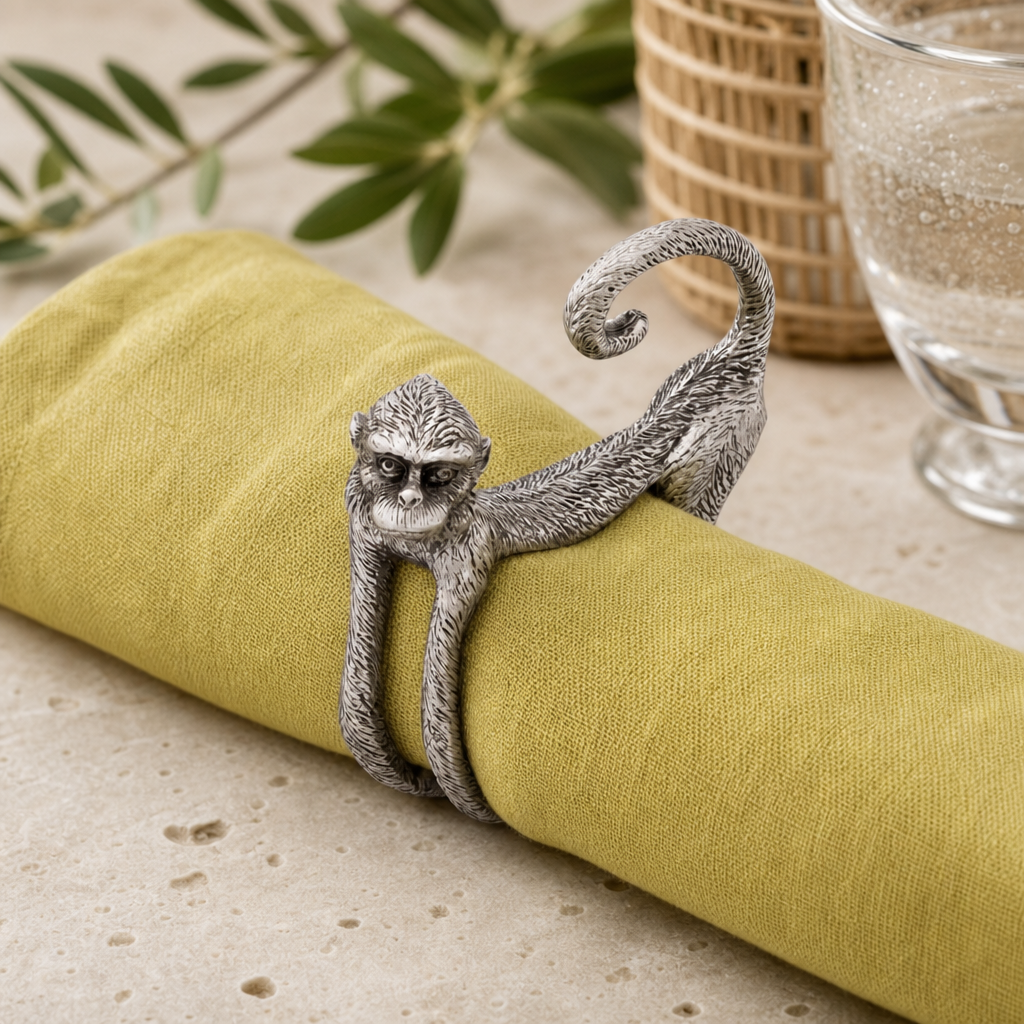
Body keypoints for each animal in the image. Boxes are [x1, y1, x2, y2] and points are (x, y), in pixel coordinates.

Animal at [341, 218, 775, 825]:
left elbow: (439, 704)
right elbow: (359, 693)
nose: (406, 499)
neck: (431, 529)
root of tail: (735, 353)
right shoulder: (364, 523)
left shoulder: (468, 551)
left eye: (438, 476)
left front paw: (455, 790)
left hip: (727, 437)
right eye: (390, 466)